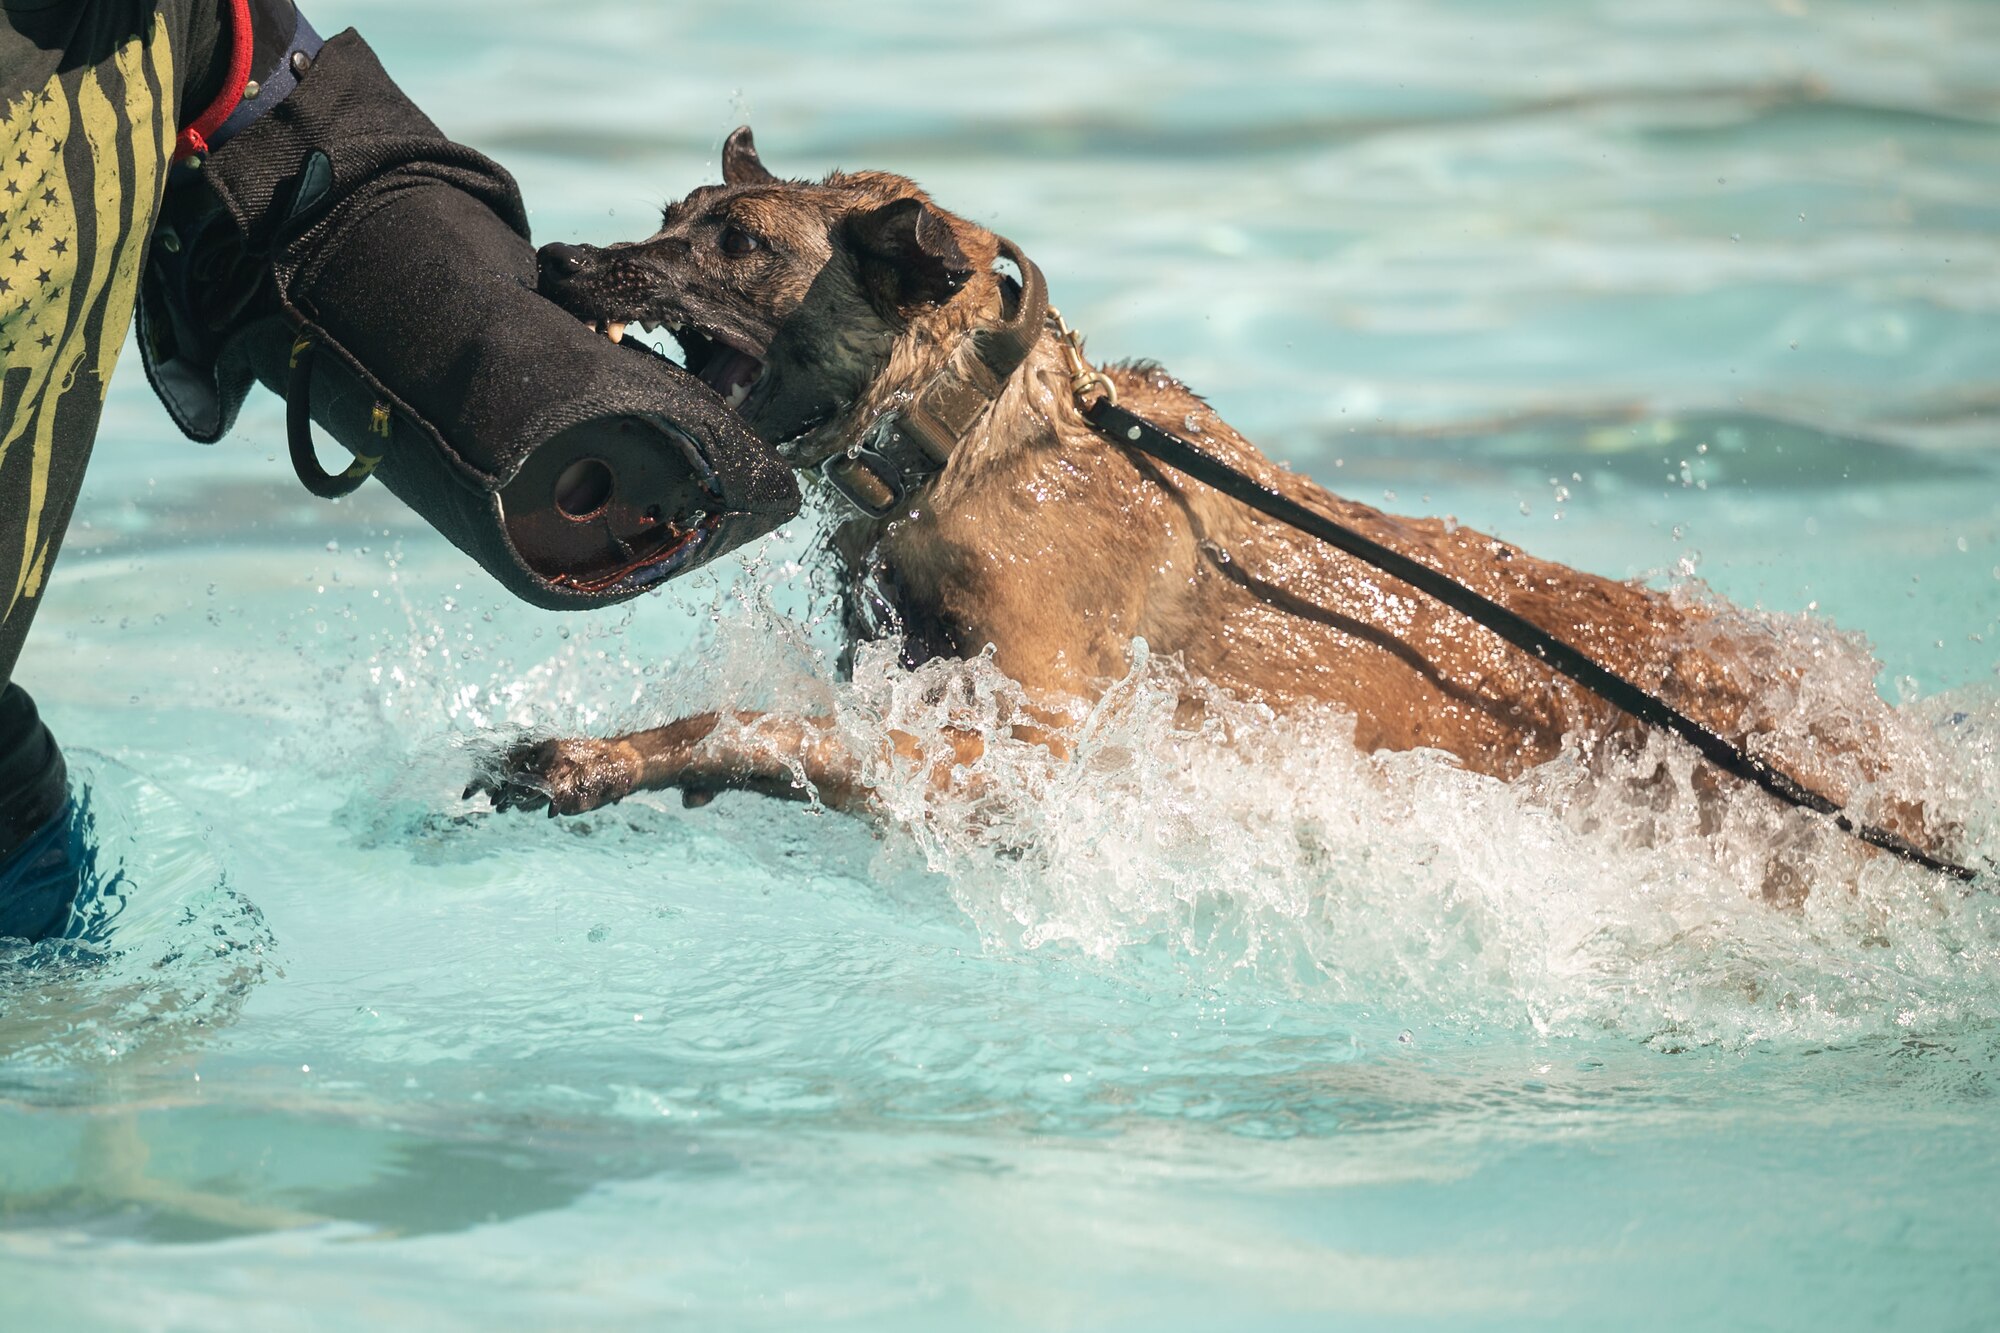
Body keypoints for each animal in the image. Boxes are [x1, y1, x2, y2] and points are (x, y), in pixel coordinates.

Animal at [476, 124, 1928, 876]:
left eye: (734, 245)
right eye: (673, 210)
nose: (561, 259)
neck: (977, 439)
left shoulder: (1021, 749)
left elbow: (761, 727)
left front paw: (612, 757)